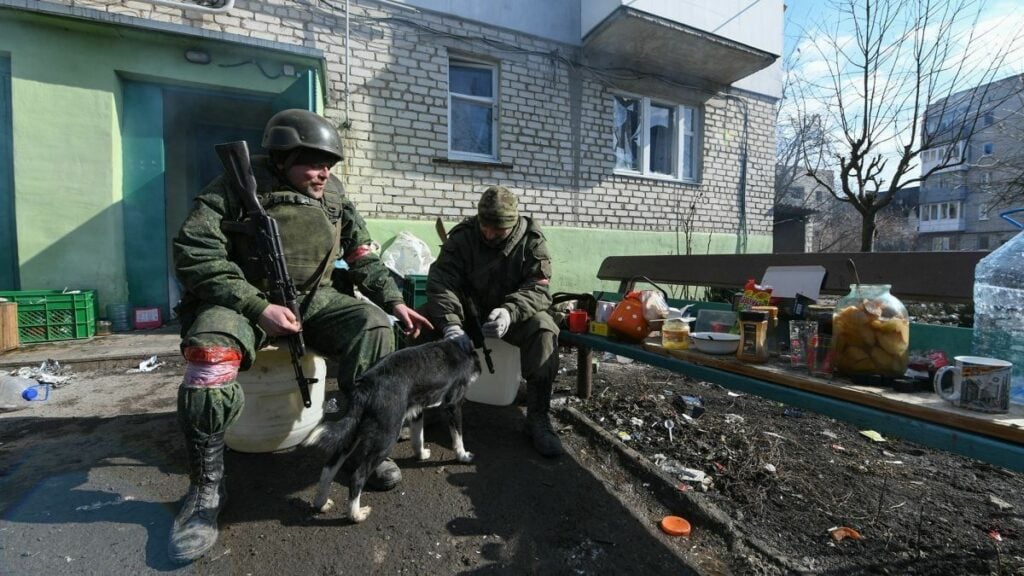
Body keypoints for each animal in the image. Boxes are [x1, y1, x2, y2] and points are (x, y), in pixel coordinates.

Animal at [301, 332, 481, 520]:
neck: (460, 346)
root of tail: (365, 387)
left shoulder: (417, 410)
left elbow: (418, 437)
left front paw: (421, 454)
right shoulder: (454, 404)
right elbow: (458, 437)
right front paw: (463, 456)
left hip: (352, 433)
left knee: (328, 468)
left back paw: (321, 503)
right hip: (386, 437)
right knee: (357, 477)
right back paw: (356, 514)